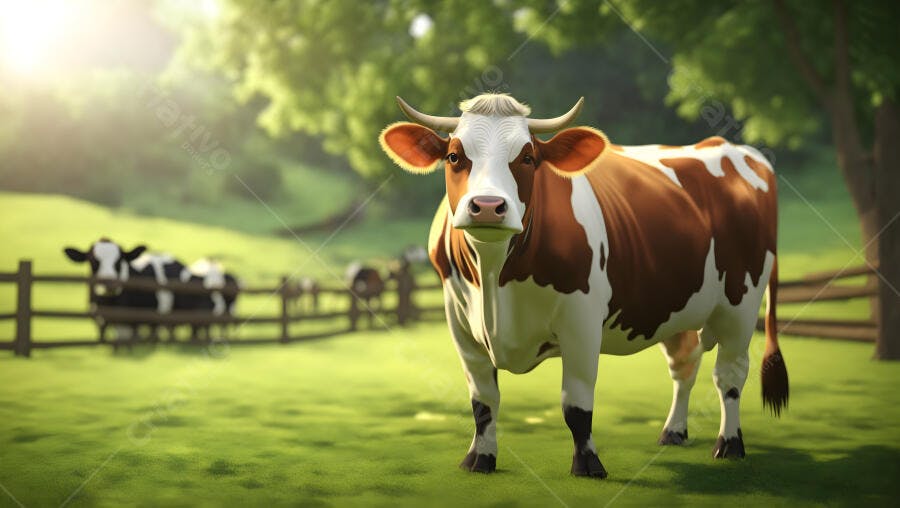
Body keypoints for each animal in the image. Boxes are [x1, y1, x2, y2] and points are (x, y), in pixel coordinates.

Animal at [379, 93, 788, 478]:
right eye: (453, 156)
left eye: (528, 157)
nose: (488, 206)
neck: (496, 282)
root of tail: (739, 150)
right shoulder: (459, 321)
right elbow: (483, 401)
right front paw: (480, 459)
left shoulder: (581, 321)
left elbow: (576, 404)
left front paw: (588, 464)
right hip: (676, 306)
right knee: (685, 363)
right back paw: (673, 432)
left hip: (741, 302)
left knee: (730, 375)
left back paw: (729, 444)